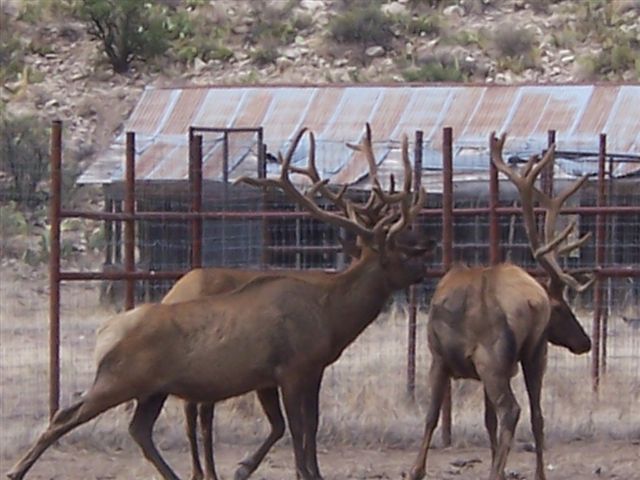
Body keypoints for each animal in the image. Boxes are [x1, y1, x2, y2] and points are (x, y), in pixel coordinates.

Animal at [5, 124, 432, 480]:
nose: (426, 266)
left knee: (139, 430)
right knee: (66, 414)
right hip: (119, 379)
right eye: (403, 250)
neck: (333, 318)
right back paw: (15, 470)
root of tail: (104, 333)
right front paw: (297, 473)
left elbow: (303, 427)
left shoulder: (287, 375)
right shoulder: (294, 368)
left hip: (153, 388)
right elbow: (300, 431)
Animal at [410, 132, 596, 480]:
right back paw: (536, 473)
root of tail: (532, 302)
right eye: (561, 309)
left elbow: (431, 416)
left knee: (512, 410)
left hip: (492, 358)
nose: (585, 342)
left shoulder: (439, 358)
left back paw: (498, 472)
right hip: (535, 355)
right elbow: (488, 421)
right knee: (536, 414)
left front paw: (416, 470)